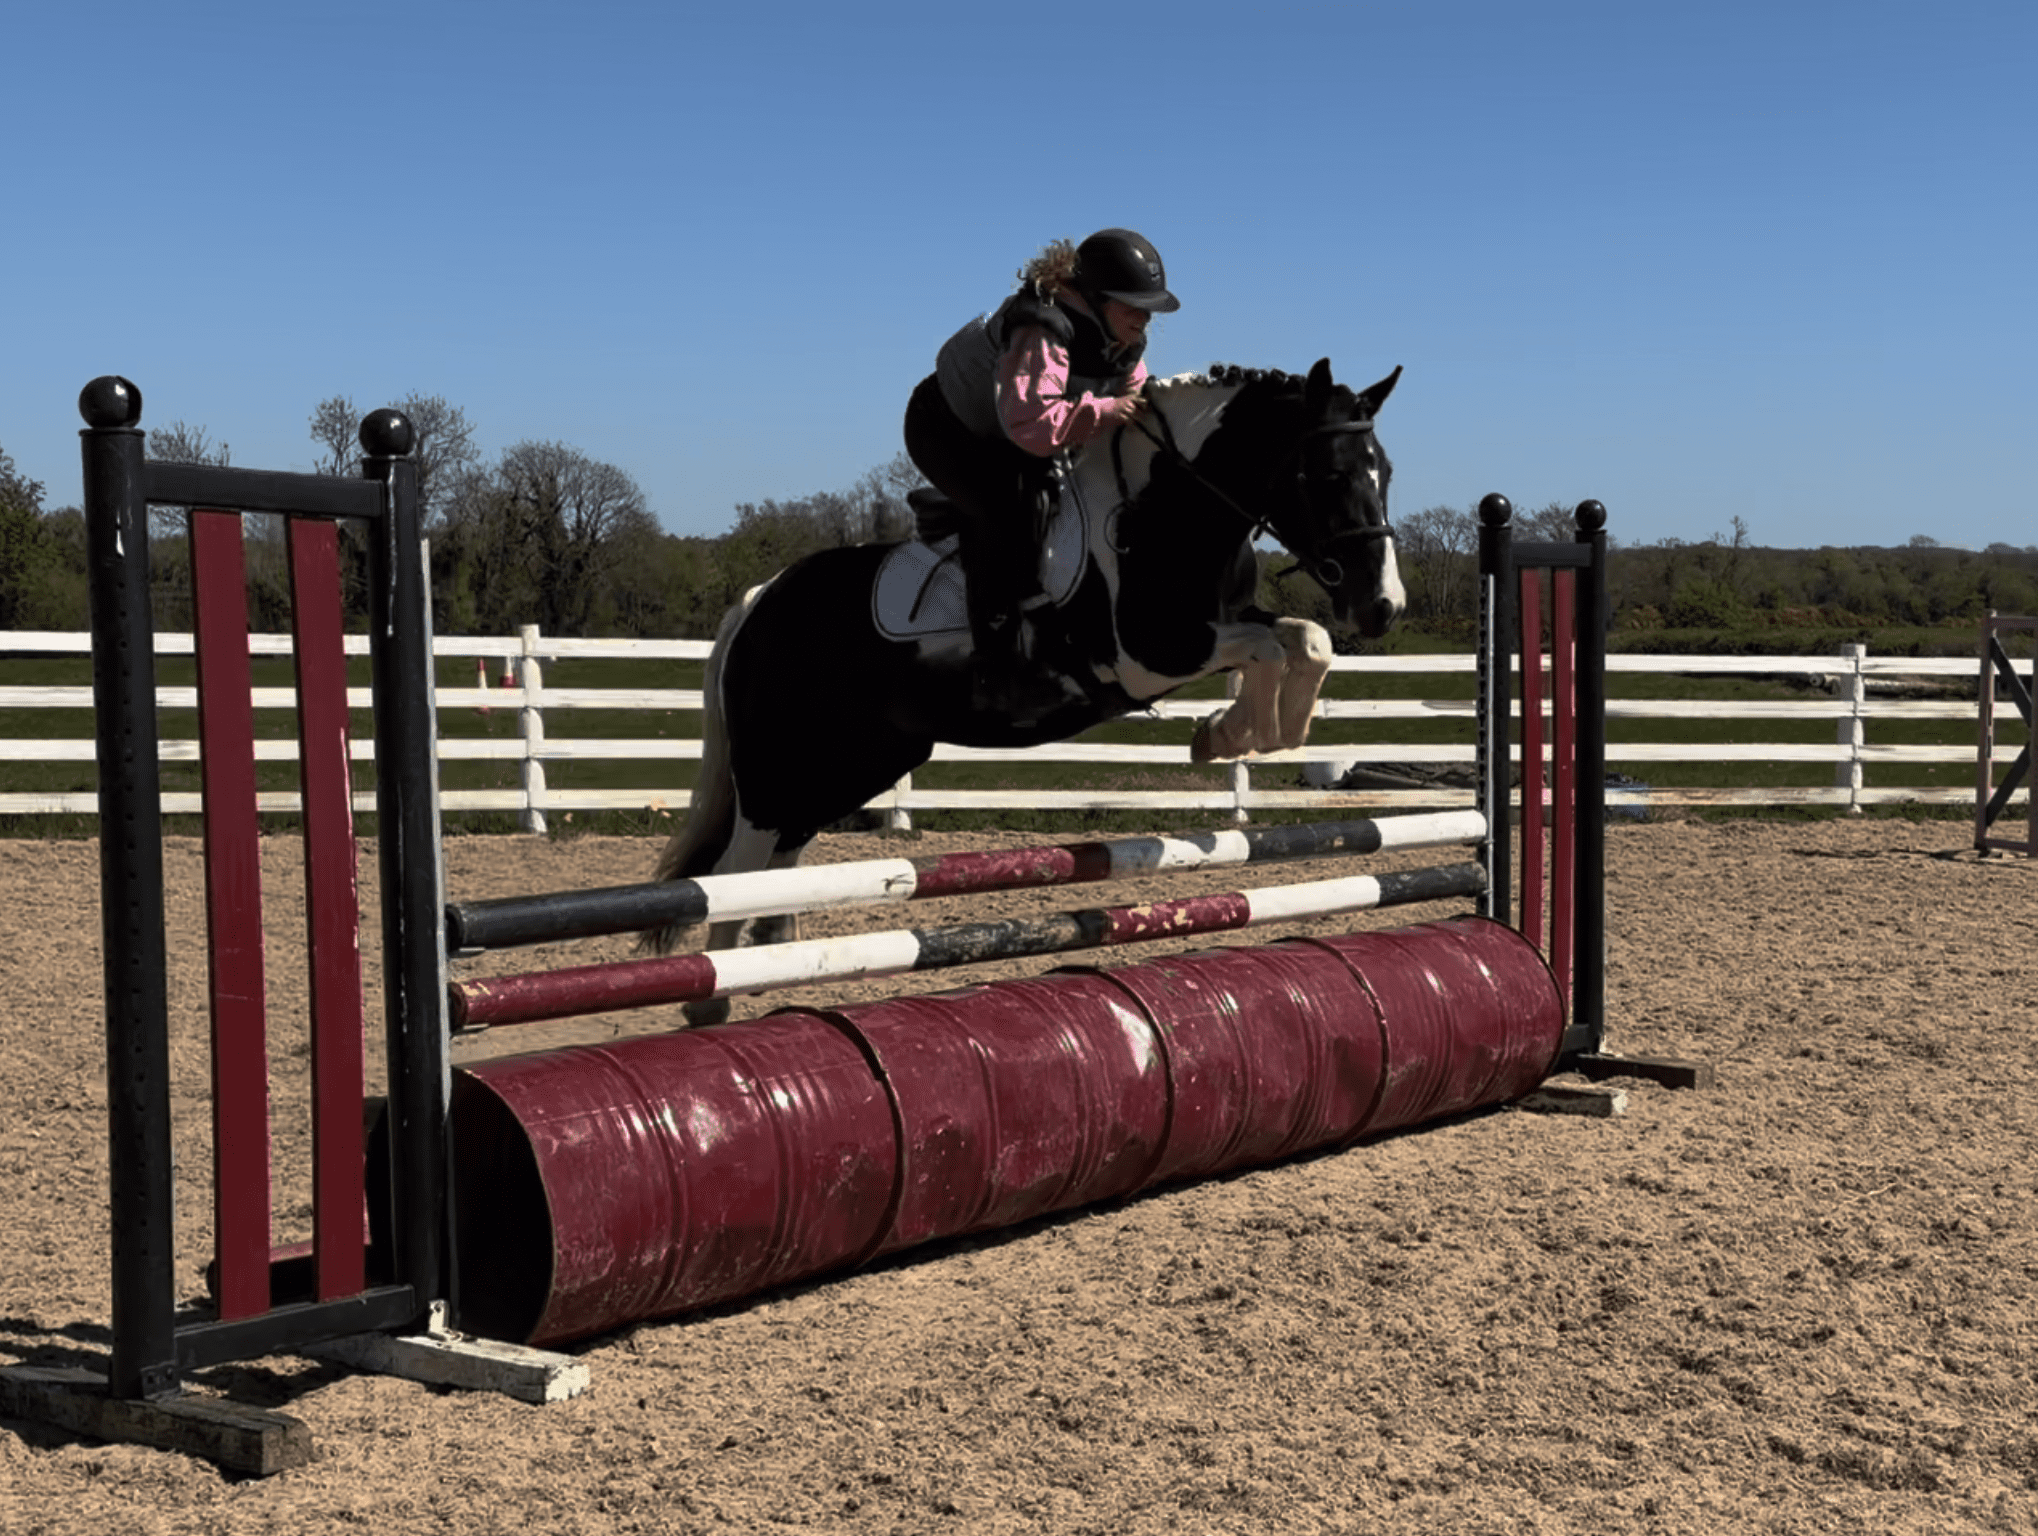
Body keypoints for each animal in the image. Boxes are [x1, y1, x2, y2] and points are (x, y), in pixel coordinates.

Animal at [644, 357, 1405, 997]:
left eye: (1386, 472)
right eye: (1329, 474)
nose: (1383, 607)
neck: (1165, 511)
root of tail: (761, 599)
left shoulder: (1223, 623)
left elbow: (1305, 641)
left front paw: (1244, 734)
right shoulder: (1149, 655)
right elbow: (1271, 649)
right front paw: (1230, 733)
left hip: (854, 759)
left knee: (781, 854)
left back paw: (776, 961)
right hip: (779, 762)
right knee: (736, 869)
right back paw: (716, 1001)